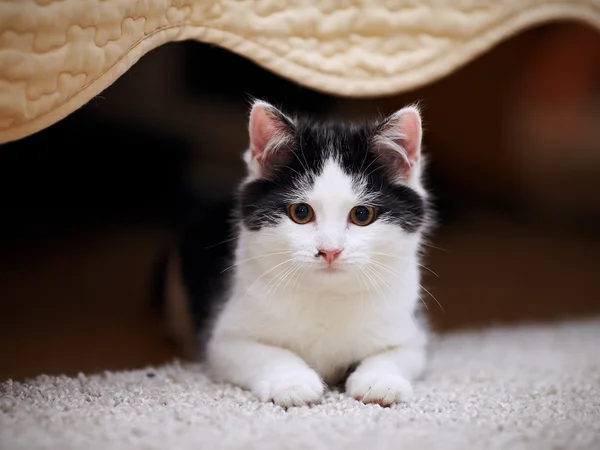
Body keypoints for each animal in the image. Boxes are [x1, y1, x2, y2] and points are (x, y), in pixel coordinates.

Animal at [166, 101, 434, 408]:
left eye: (362, 215)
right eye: (301, 212)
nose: (330, 250)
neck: (327, 296)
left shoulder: (411, 332)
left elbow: (397, 353)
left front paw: (380, 381)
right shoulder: (225, 339)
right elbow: (267, 353)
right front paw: (292, 382)